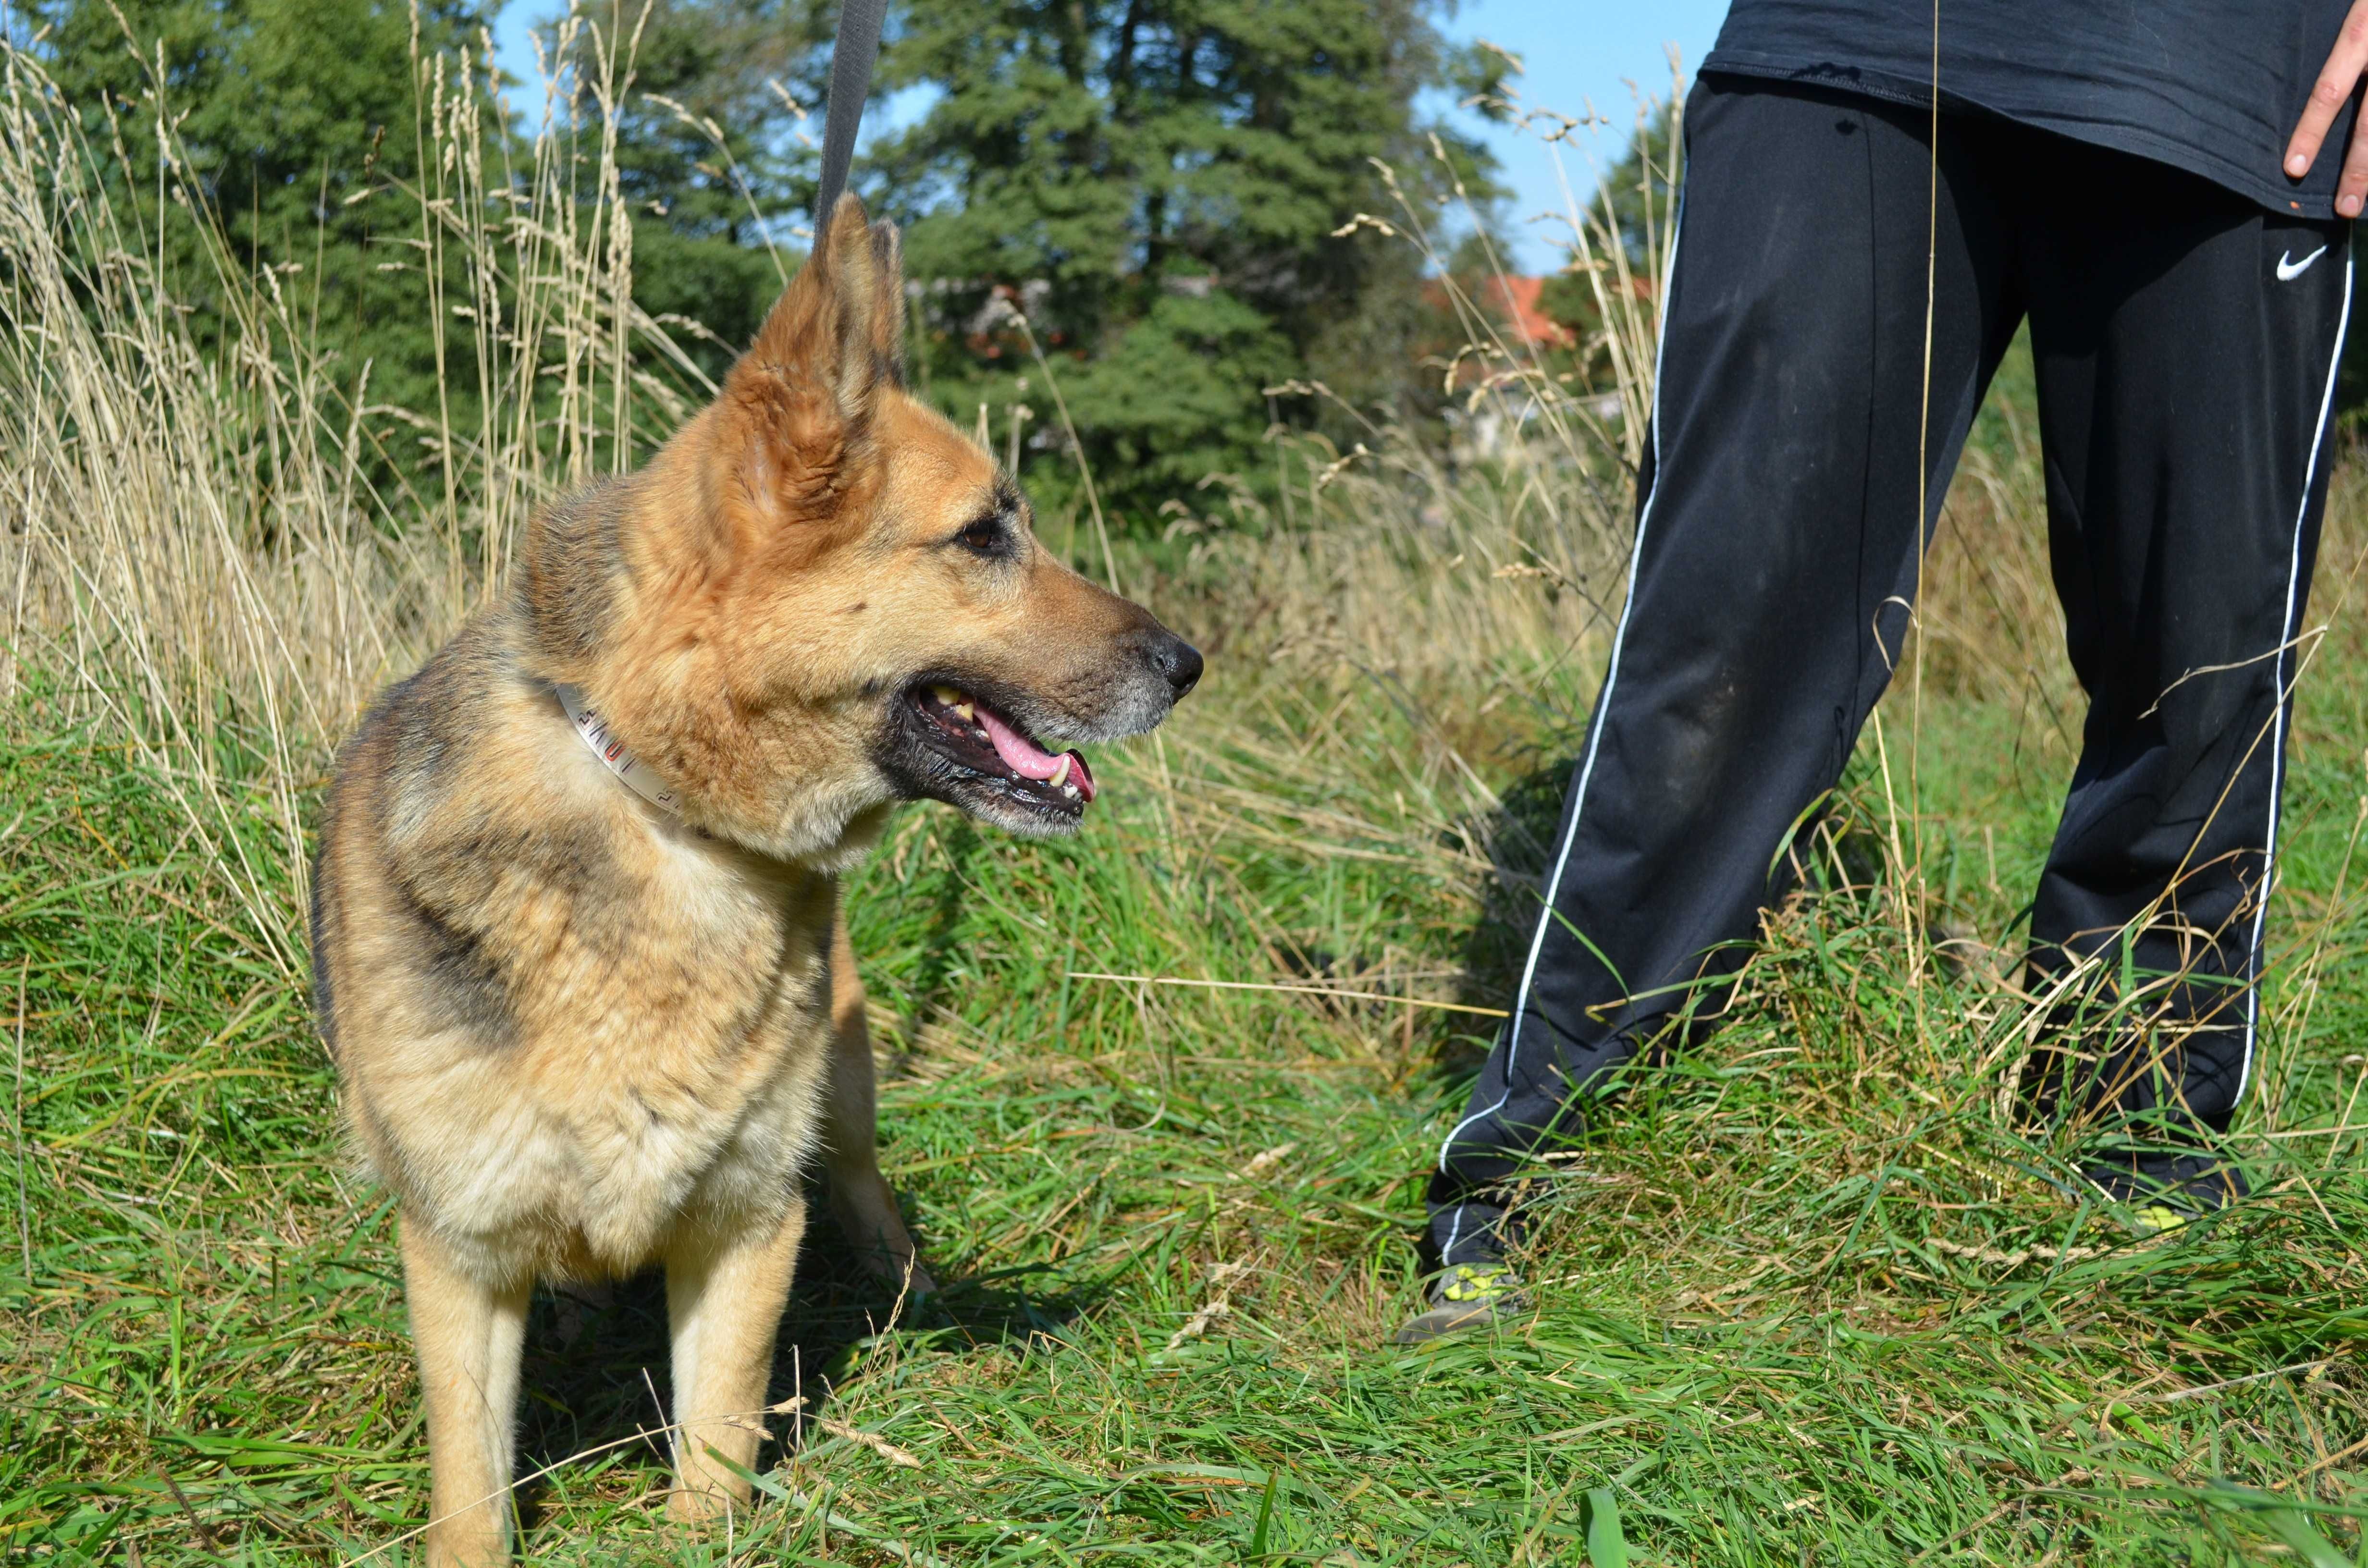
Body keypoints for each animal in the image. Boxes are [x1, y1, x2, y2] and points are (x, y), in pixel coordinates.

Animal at [310, 196, 1203, 1563]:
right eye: (984, 536)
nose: (1190, 664)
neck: (666, 815)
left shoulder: (747, 1223)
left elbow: (718, 1446)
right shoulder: (460, 1257)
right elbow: (471, 1488)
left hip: (844, 1095)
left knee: (868, 1192)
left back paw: (910, 1292)